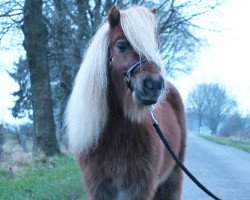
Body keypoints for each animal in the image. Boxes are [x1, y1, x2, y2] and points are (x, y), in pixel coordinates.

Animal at [65, 5, 187, 199]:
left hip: (173, 178)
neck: (116, 132)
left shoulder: (139, 189)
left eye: (156, 46)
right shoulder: (99, 188)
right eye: (121, 45)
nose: (154, 85)